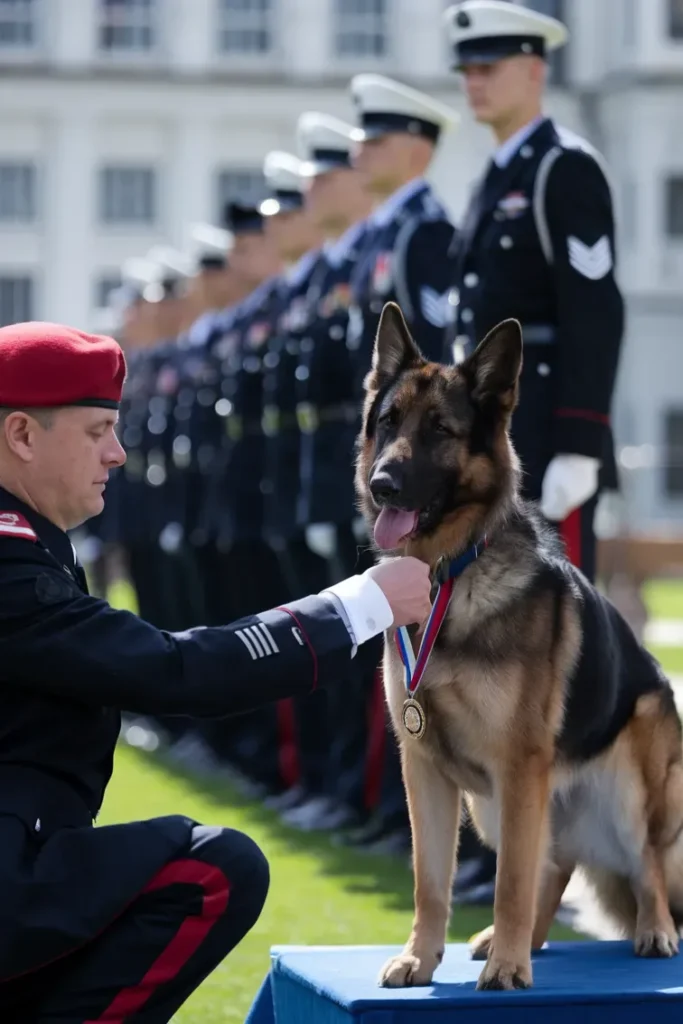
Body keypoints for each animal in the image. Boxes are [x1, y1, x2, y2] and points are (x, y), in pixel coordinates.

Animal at [356, 299, 683, 987]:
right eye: (389, 421)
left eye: (440, 430)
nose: (382, 485)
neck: (450, 576)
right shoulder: (425, 768)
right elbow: (431, 881)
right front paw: (421, 956)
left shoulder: (517, 765)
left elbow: (508, 882)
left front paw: (507, 968)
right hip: (493, 808)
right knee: (554, 864)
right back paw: (523, 941)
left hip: (627, 788)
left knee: (646, 865)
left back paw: (653, 930)